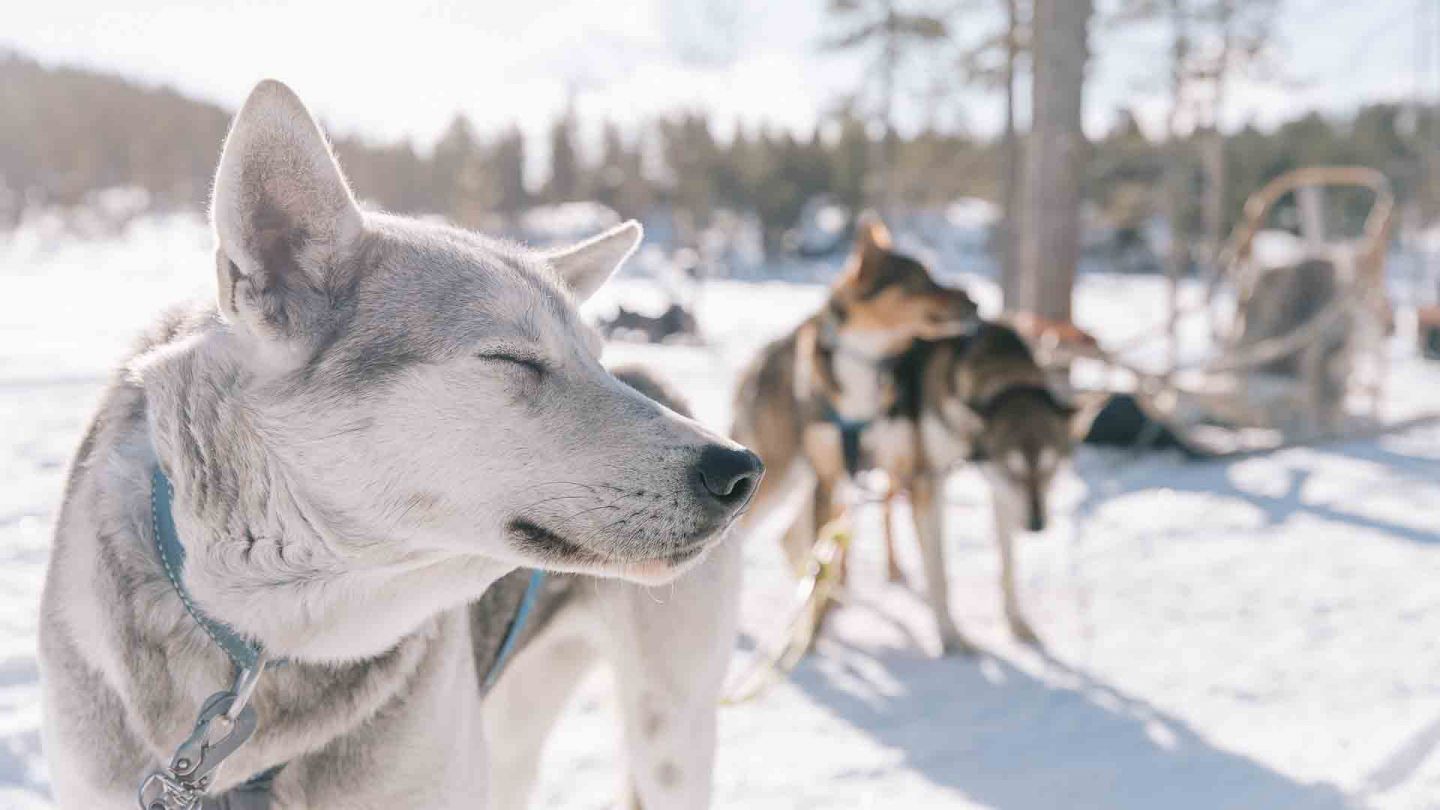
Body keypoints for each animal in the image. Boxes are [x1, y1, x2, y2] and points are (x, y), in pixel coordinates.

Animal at [731, 216, 979, 573]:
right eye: (919, 281)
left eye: (933, 276)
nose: (974, 302)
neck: (868, 363)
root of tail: (756, 363)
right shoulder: (828, 480)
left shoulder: (917, 479)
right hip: (781, 477)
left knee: (792, 540)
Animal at [892, 318, 1105, 645]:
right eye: (1011, 469)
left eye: (1051, 468)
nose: (1036, 525)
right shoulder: (932, 482)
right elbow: (938, 571)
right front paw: (948, 632)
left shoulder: (1002, 493)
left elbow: (1008, 565)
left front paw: (1015, 621)